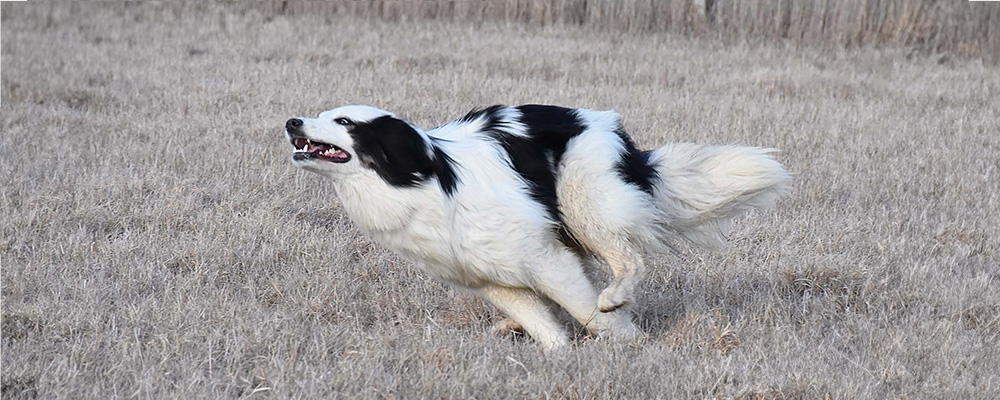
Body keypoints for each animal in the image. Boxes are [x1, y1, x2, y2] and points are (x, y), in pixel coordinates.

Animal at [284, 105, 788, 350]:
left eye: (344, 121)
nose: (291, 121)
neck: (428, 179)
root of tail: (607, 126)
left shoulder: (544, 257)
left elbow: (583, 308)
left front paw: (629, 342)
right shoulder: (489, 278)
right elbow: (544, 325)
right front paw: (558, 351)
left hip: (584, 204)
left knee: (630, 258)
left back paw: (615, 297)